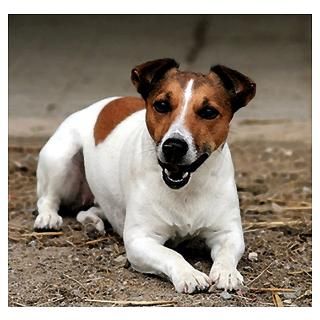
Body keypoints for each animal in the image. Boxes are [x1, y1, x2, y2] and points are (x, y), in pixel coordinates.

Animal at [34, 58, 255, 294]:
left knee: (90, 210)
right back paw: (48, 218)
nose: (173, 147)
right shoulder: (140, 240)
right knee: (47, 198)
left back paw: (92, 223)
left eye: (208, 111)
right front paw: (189, 274)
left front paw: (227, 272)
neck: (186, 190)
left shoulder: (228, 233)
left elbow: (226, 254)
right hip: (60, 160)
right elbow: (172, 254)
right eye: (162, 105)